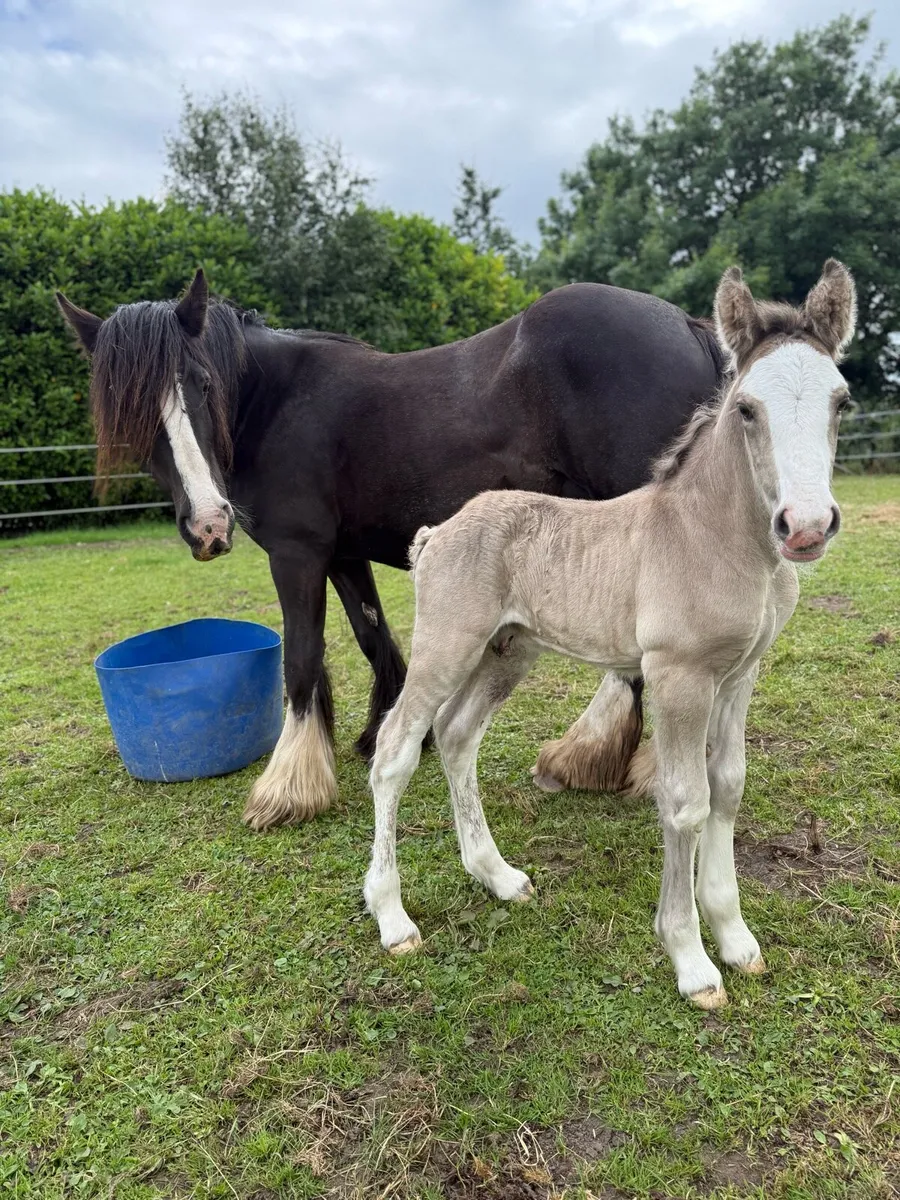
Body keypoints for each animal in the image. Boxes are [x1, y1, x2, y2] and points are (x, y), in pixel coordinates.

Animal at [56, 275, 725, 830]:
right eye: (133, 414)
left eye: (202, 386)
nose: (209, 526)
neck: (276, 403)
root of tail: (686, 325)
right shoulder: (342, 555)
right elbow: (371, 635)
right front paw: (386, 735)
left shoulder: (297, 554)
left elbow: (302, 657)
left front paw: (289, 787)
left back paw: (598, 756)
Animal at [364, 260, 856, 1009]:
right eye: (747, 408)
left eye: (841, 402)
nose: (804, 527)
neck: (713, 537)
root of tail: (438, 532)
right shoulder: (679, 675)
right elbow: (685, 804)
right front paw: (692, 961)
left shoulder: (739, 674)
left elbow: (728, 786)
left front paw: (737, 939)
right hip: (447, 646)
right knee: (395, 751)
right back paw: (392, 918)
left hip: (507, 651)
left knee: (455, 736)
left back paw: (498, 876)